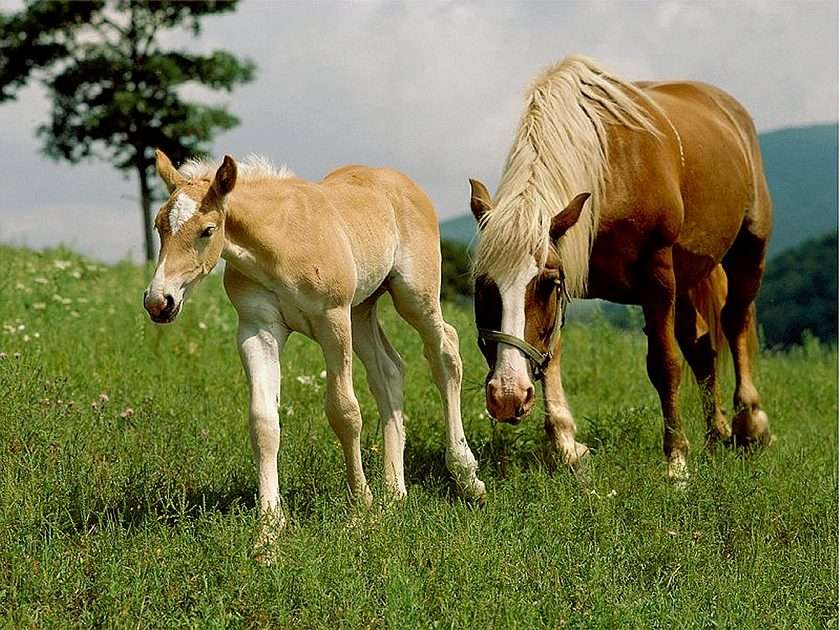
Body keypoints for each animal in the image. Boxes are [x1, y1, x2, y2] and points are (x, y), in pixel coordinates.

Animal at [144, 152, 486, 548]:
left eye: (208, 230)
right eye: (159, 226)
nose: (159, 302)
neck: (278, 243)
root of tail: (403, 183)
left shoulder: (332, 320)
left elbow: (344, 412)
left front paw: (361, 510)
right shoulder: (257, 330)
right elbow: (263, 422)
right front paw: (268, 530)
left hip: (413, 297)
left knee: (446, 352)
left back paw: (466, 476)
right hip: (362, 309)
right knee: (389, 371)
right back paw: (394, 493)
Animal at [470, 56, 772, 484]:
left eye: (545, 283)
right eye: (483, 286)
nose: (506, 395)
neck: (608, 172)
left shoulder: (656, 275)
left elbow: (664, 365)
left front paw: (676, 462)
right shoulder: (570, 270)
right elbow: (551, 352)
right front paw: (567, 445)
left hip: (748, 248)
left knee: (735, 321)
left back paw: (750, 423)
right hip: (688, 277)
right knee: (702, 350)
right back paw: (717, 435)